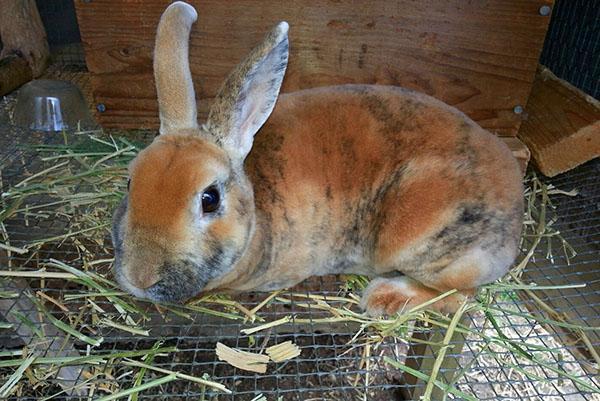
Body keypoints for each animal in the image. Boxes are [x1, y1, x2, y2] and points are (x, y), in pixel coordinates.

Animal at [110, 2, 524, 316]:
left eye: (209, 199)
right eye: (131, 182)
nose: (140, 277)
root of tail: (517, 203)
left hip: (421, 240)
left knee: (461, 296)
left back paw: (383, 297)